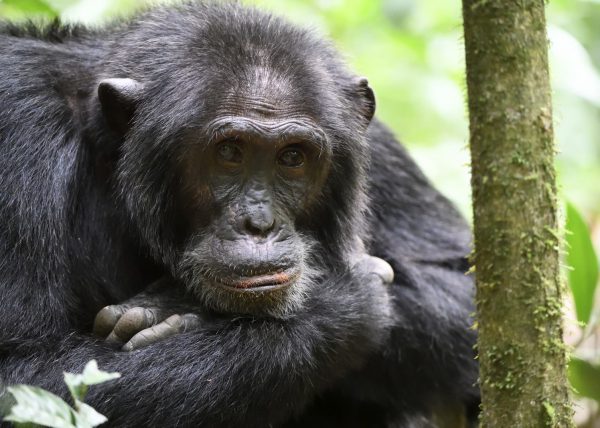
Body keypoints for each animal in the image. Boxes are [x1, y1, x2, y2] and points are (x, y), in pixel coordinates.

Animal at [0, 1, 478, 426]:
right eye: (229, 152)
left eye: (292, 157)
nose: (259, 224)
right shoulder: (20, 117)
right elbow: (26, 374)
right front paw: (342, 306)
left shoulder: (372, 139)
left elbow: (461, 280)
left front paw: (173, 302)